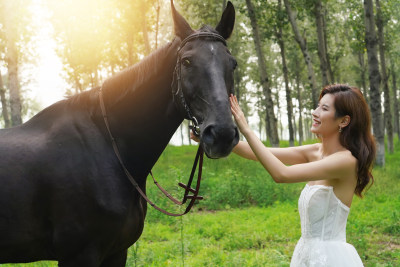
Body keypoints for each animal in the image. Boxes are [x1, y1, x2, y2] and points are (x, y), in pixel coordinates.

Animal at [0, 1, 238, 266]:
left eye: (233, 63)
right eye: (186, 62)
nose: (222, 134)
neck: (107, 148)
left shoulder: (117, 251)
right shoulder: (79, 254)